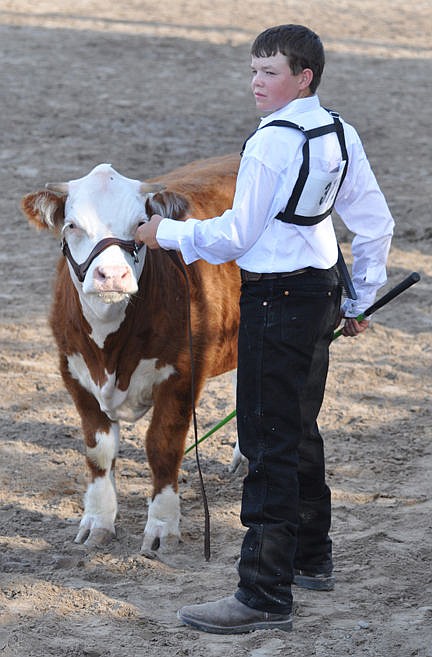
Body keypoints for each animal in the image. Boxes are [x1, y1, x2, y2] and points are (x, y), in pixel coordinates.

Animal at [22, 154, 241, 552]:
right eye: (73, 225)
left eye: (141, 224)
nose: (111, 275)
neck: (110, 357)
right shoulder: (73, 373)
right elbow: (98, 451)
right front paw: (97, 522)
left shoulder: (183, 374)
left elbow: (162, 446)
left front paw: (162, 527)